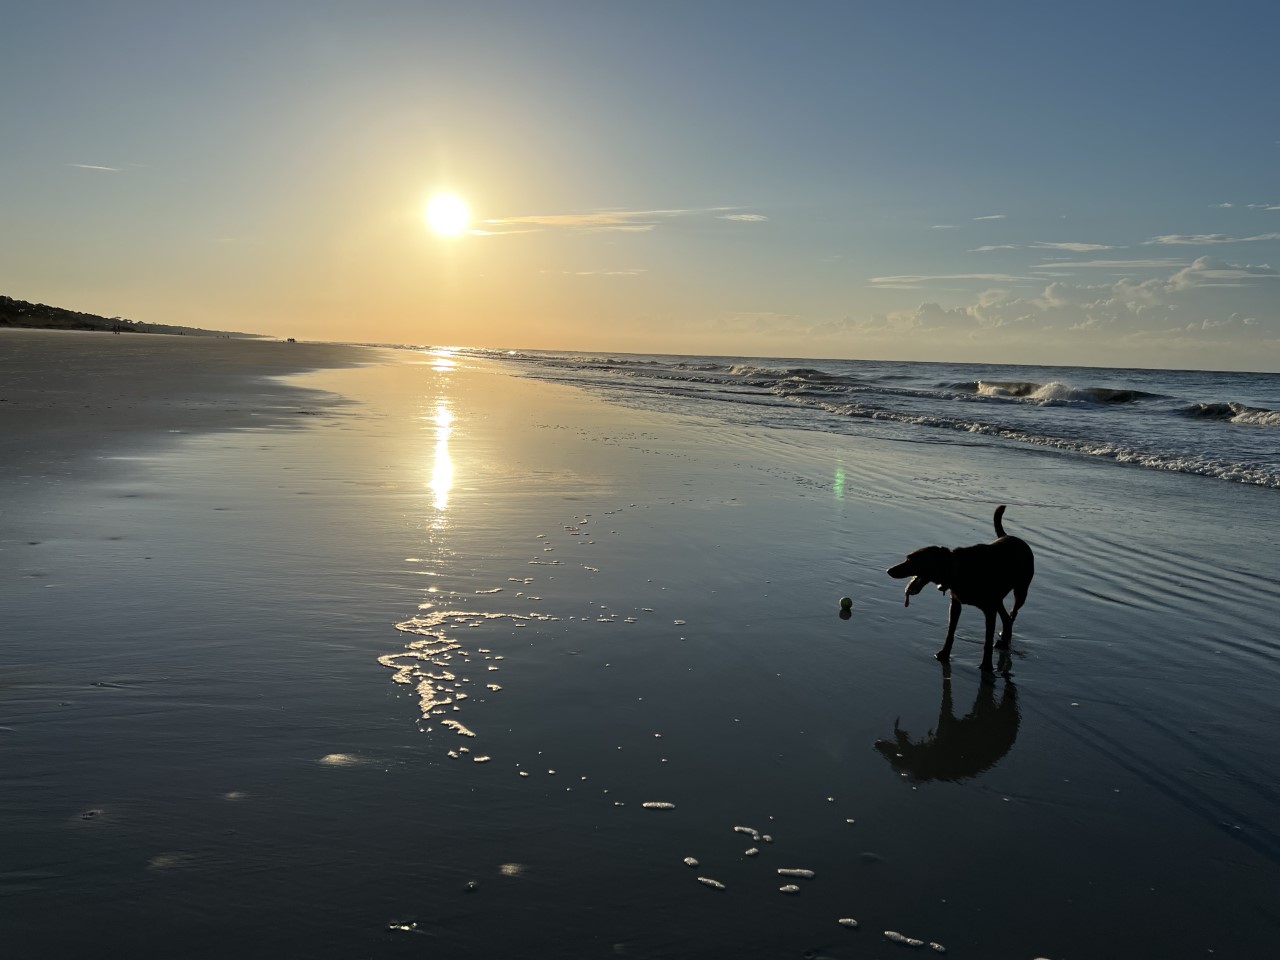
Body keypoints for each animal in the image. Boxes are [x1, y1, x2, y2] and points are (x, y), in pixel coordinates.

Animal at [885, 506, 1034, 670]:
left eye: (910, 560)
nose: (889, 570)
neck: (956, 568)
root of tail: (1011, 537)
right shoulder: (956, 603)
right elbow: (950, 632)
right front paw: (943, 654)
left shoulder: (989, 610)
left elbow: (987, 641)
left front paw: (986, 666)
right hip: (998, 599)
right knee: (1006, 617)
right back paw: (1003, 641)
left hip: (1021, 589)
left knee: (1013, 612)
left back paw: (1004, 641)